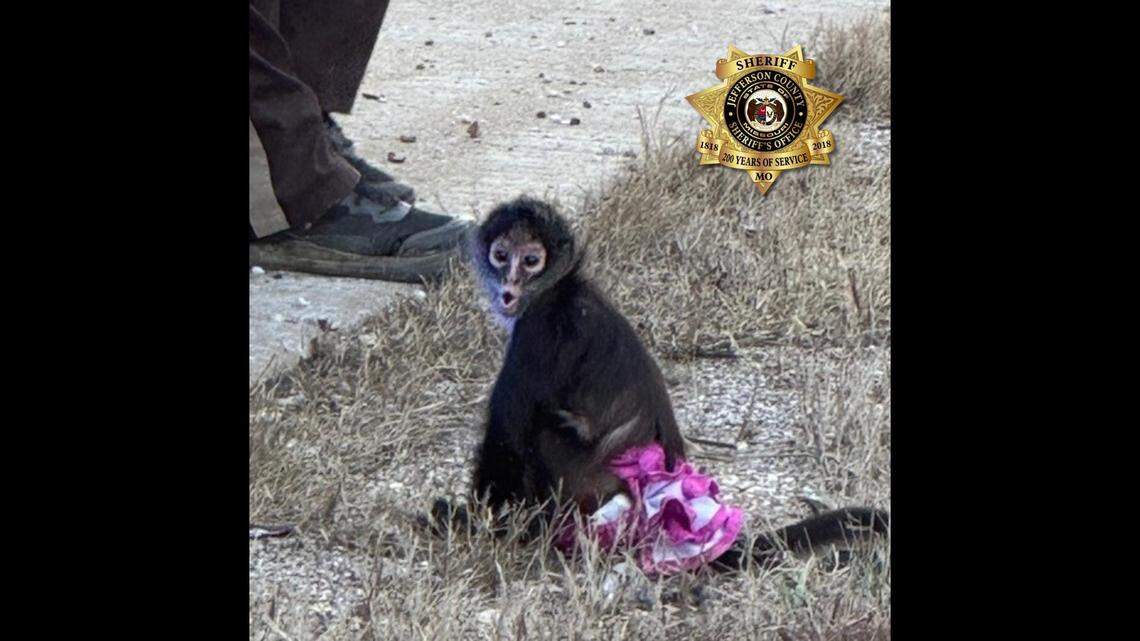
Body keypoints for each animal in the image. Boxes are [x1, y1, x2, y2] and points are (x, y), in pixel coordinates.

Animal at [431, 196, 888, 572]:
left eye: (530, 261)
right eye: (501, 255)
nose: (509, 289)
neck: (560, 288)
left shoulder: (537, 332)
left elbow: (506, 434)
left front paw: (473, 524)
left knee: (544, 427)